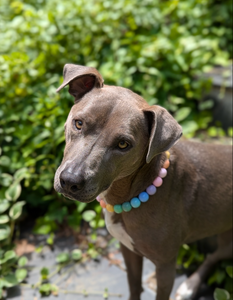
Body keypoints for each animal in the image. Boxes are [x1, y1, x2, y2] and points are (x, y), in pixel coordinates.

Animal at [54, 65, 231, 300]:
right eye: (79, 123)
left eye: (123, 144)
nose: (70, 181)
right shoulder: (128, 250)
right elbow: (133, 285)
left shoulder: (165, 266)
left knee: (214, 256)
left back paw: (189, 286)